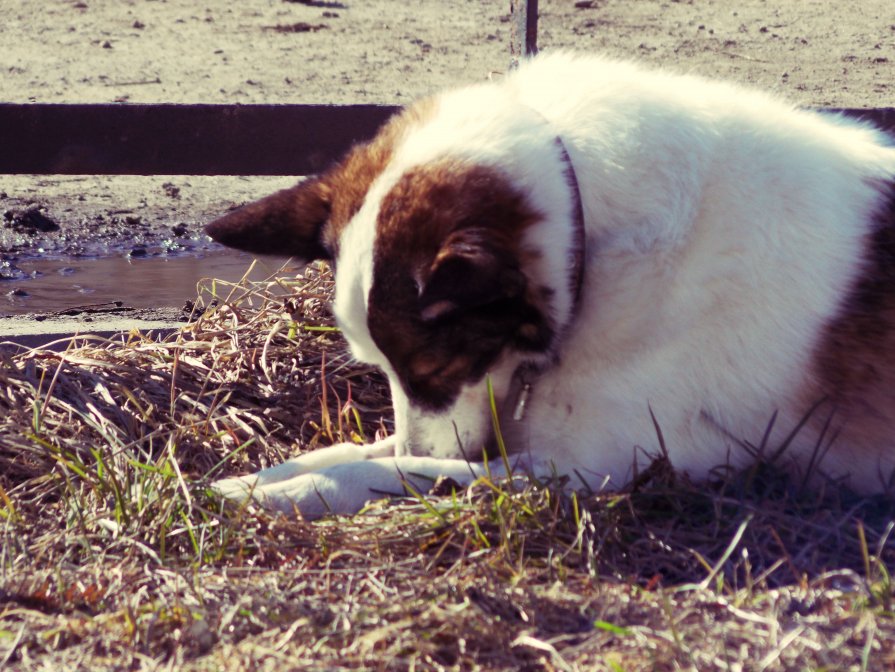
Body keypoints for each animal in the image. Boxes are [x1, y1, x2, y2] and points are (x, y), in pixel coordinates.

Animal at [205, 52, 895, 516]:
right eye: (382, 369)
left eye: (434, 367)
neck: (589, 234)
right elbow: (363, 452)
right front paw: (263, 477)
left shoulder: (600, 465)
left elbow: (403, 470)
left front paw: (296, 491)